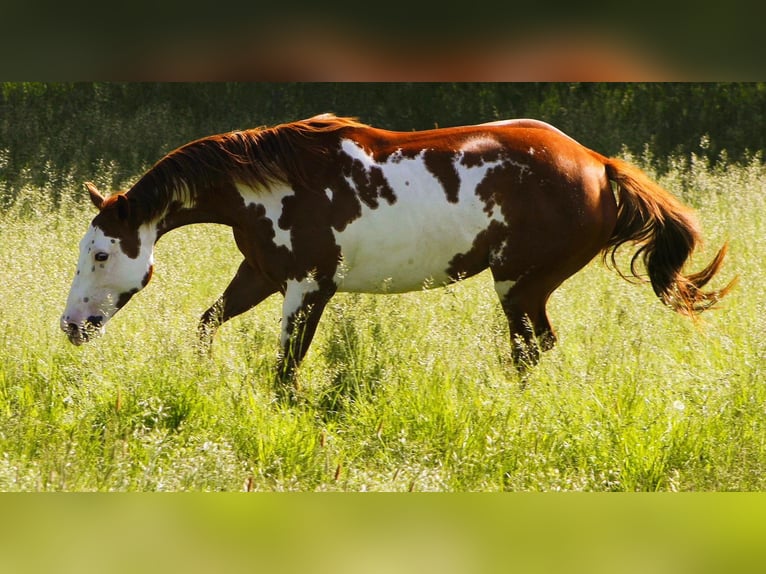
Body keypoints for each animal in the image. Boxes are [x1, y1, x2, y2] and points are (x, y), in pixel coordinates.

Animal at [61, 114, 736, 390]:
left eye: (100, 254)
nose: (70, 326)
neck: (275, 182)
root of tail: (598, 165)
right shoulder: (261, 274)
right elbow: (206, 324)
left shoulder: (310, 287)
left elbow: (286, 368)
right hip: (525, 287)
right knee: (535, 348)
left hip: (520, 284)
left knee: (531, 348)